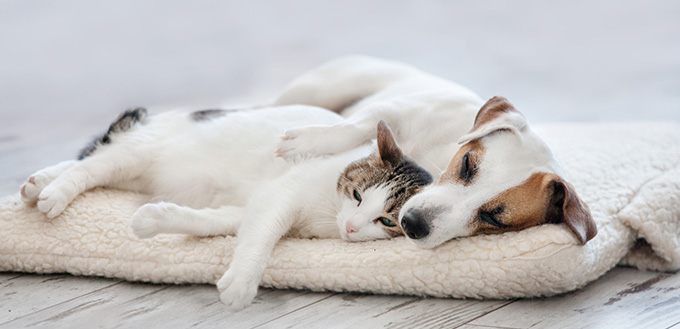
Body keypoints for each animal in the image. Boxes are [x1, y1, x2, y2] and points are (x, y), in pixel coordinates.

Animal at [22, 104, 436, 310]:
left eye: (386, 221)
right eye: (357, 195)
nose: (350, 227)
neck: (326, 217)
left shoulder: (248, 206)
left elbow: (213, 222)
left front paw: (155, 219)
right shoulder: (279, 196)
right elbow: (262, 237)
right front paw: (242, 282)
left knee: (90, 163)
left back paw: (37, 183)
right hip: (137, 153)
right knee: (88, 167)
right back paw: (53, 192)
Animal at [274, 55, 596, 247]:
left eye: (494, 220)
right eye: (467, 164)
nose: (412, 224)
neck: (431, 160)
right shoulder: (397, 111)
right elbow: (356, 126)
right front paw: (304, 141)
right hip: (322, 89)